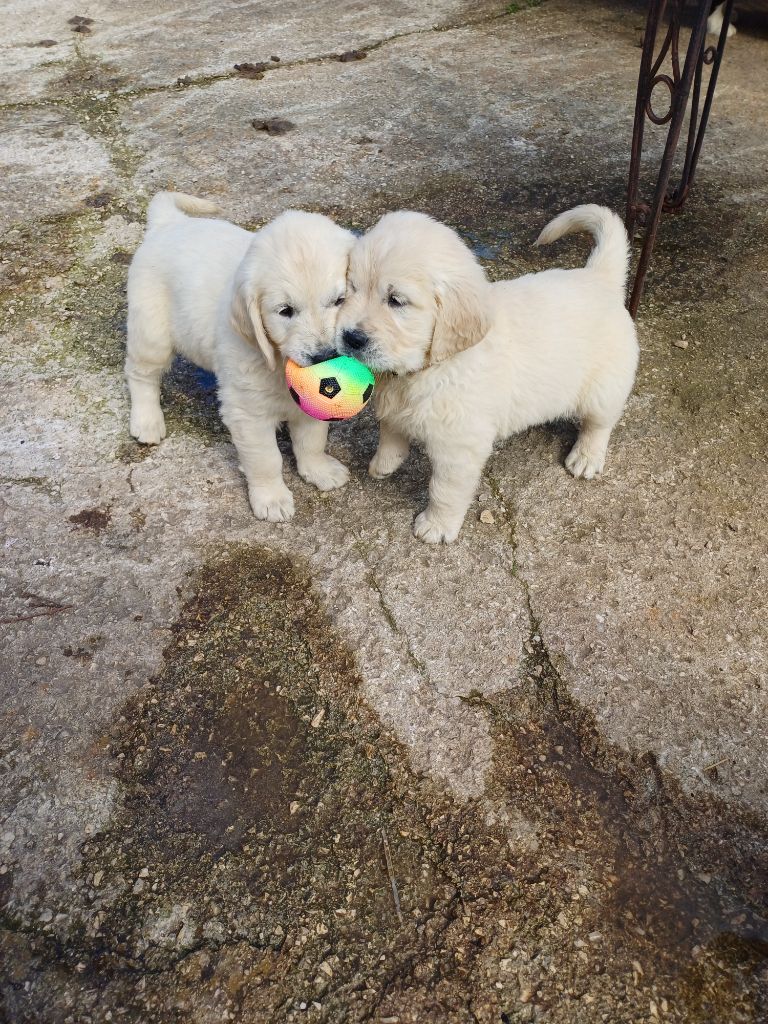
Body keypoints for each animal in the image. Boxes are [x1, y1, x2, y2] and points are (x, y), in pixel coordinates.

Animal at [126, 192, 354, 520]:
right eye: (285, 311)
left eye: (339, 300)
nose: (326, 356)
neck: (277, 362)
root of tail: (169, 222)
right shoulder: (247, 412)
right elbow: (266, 458)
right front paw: (271, 498)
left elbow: (311, 439)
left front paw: (318, 469)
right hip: (151, 331)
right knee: (140, 374)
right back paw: (146, 420)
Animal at [335, 205, 643, 544]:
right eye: (351, 289)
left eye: (396, 301)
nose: (350, 337)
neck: (430, 367)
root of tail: (598, 276)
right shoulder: (393, 401)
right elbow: (390, 430)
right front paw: (384, 462)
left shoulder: (459, 444)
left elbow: (445, 490)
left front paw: (437, 525)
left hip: (604, 386)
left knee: (599, 424)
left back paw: (587, 457)